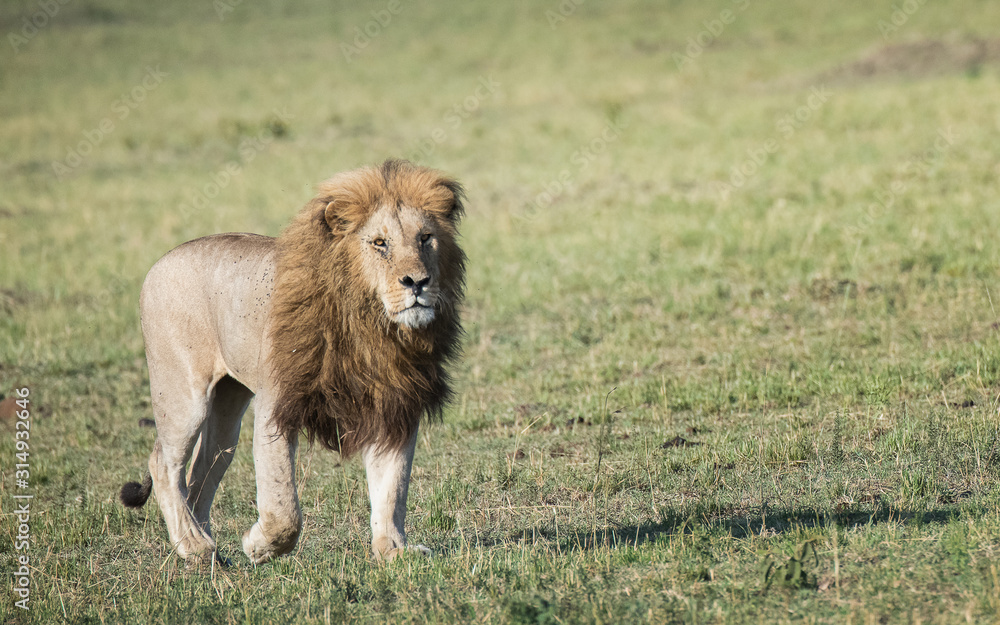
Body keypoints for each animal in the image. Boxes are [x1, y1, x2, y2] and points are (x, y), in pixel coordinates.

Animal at [120, 159, 465, 565]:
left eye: (425, 238)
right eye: (380, 243)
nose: (417, 282)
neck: (372, 325)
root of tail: (160, 261)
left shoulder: (393, 404)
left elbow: (392, 487)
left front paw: (393, 550)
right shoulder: (276, 403)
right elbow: (283, 504)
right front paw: (260, 545)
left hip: (227, 407)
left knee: (200, 472)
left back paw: (209, 551)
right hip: (183, 397)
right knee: (164, 464)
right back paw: (194, 548)